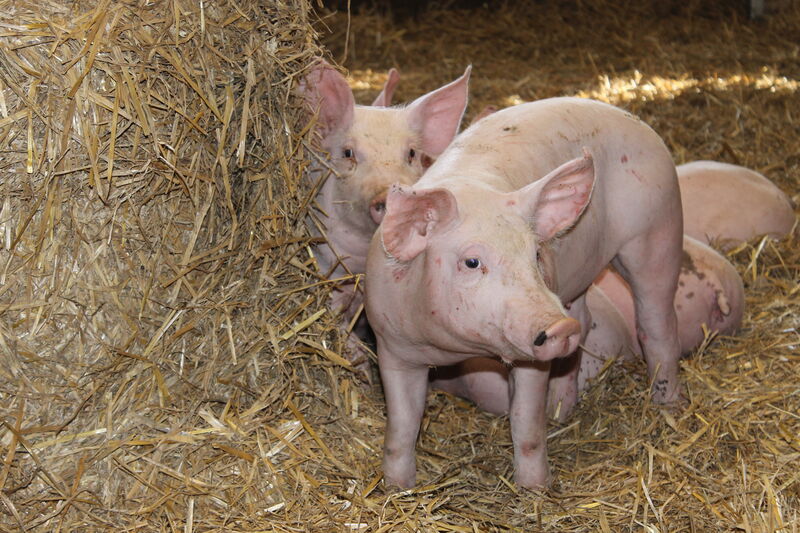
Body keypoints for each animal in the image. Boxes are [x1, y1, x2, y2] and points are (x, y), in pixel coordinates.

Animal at [366, 97, 684, 489]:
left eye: (535, 254)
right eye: (472, 262)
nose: (558, 328)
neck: (452, 348)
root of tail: (634, 120)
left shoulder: (531, 358)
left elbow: (525, 423)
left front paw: (535, 489)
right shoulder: (391, 345)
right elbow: (402, 427)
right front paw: (398, 488)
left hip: (658, 229)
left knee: (658, 325)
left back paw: (668, 407)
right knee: (584, 319)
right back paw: (561, 411)